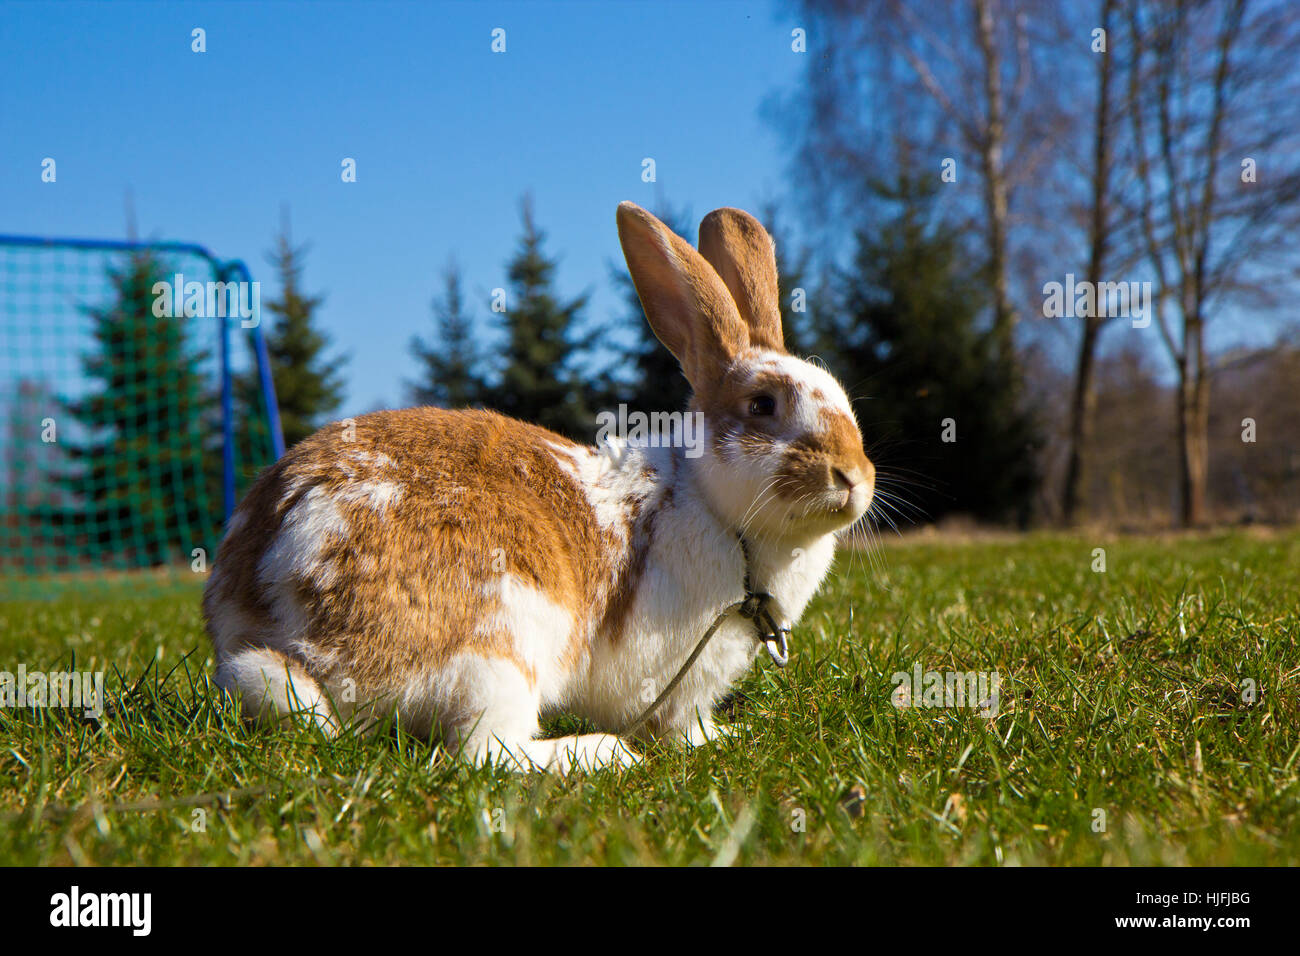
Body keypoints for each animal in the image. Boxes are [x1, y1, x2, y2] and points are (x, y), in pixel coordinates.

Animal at [202, 202, 874, 772]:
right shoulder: (673, 680)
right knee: (484, 753)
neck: (713, 509)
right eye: (762, 405)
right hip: (501, 644)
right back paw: (604, 754)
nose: (854, 477)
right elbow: (682, 727)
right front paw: (714, 739)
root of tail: (273, 603)